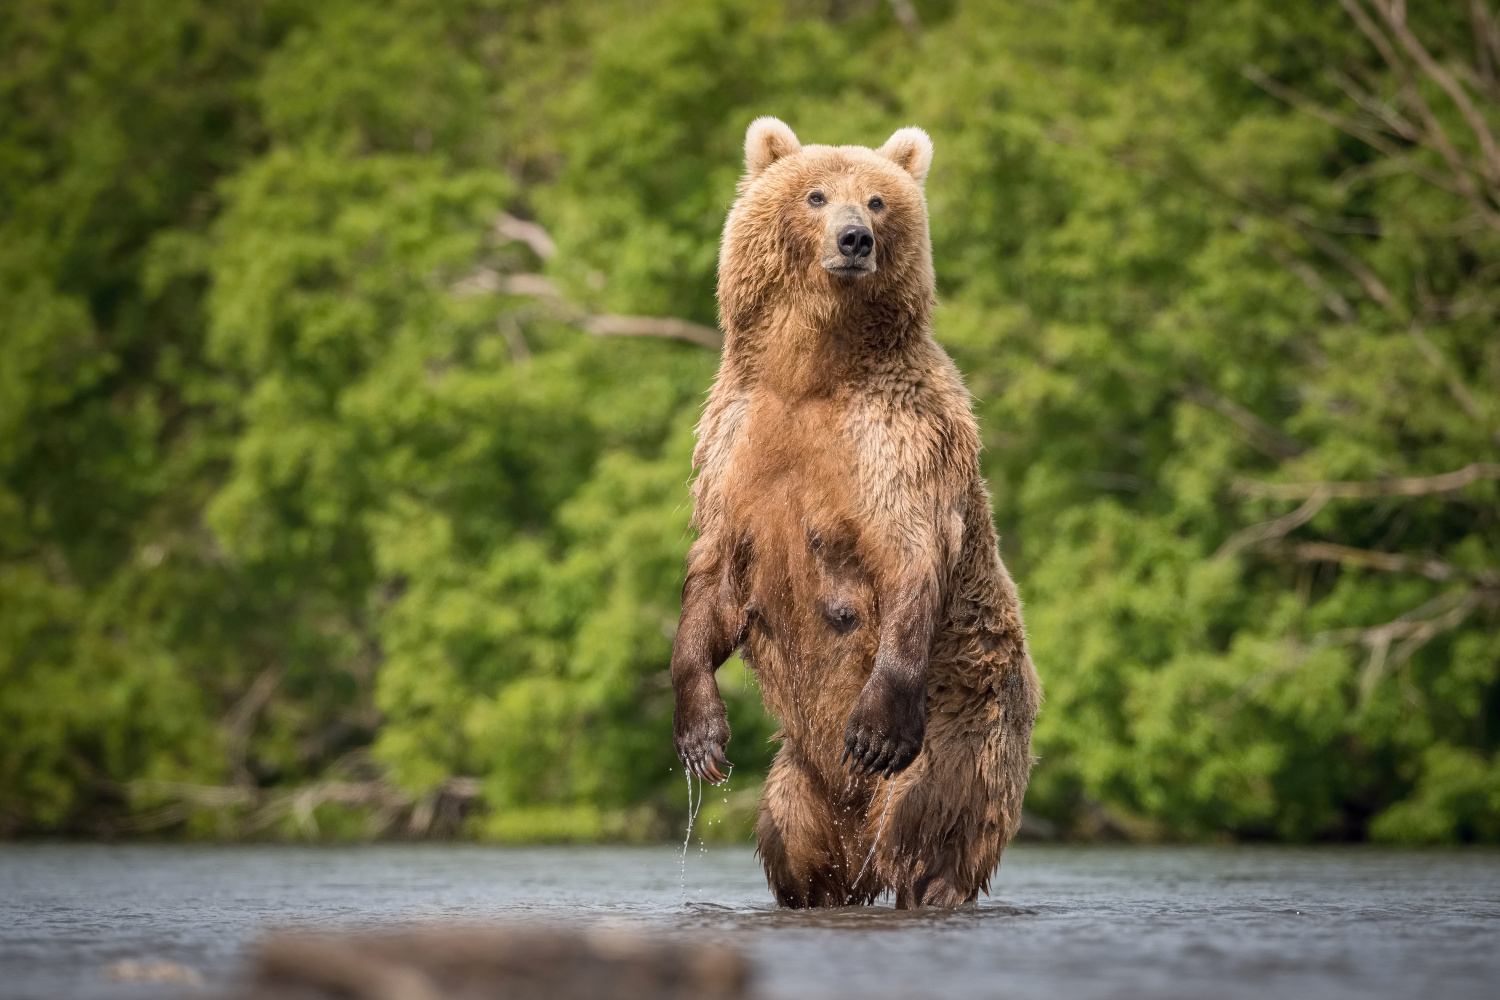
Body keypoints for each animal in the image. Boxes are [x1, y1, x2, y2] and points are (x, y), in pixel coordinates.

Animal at [672, 117, 1038, 905]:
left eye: (876, 200)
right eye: (815, 195)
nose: (854, 240)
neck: (814, 372)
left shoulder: (898, 441)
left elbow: (910, 558)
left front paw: (875, 730)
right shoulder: (735, 447)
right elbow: (713, 578)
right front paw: (700, 736)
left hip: (965, 732)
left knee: (931, 834)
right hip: (799, 778)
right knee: (792, 845)